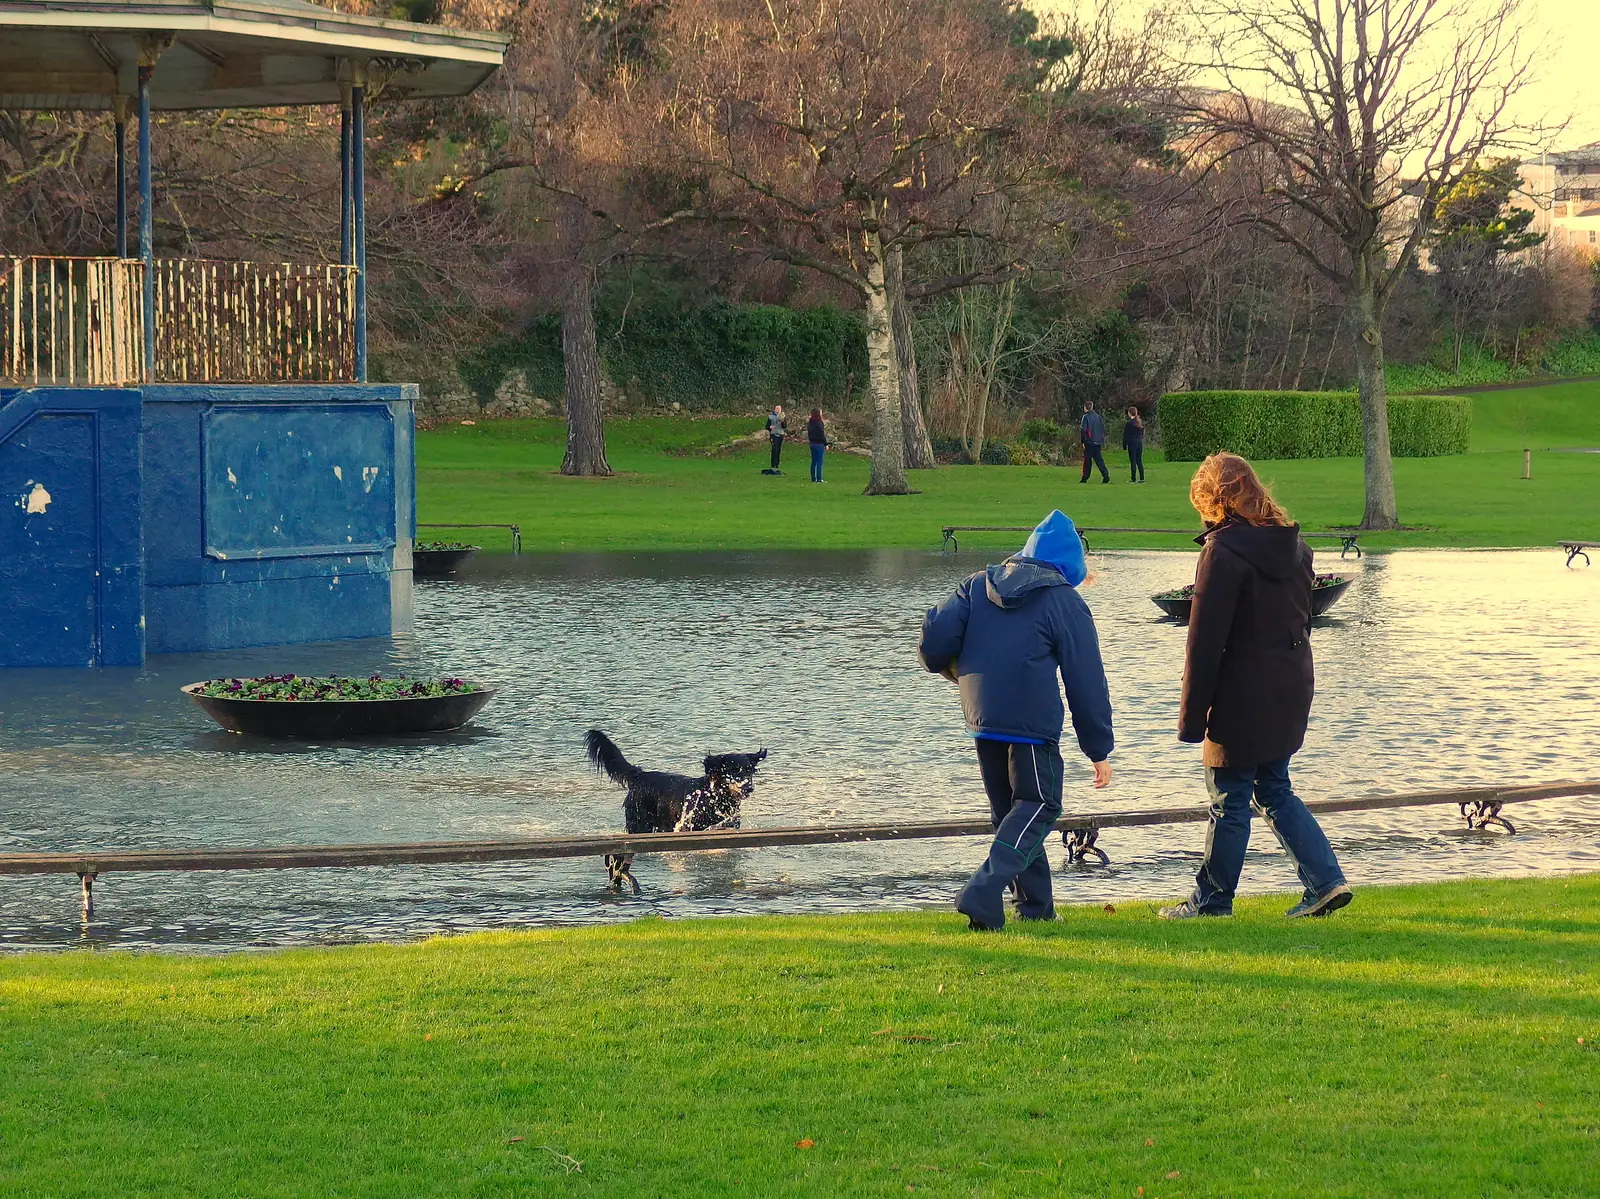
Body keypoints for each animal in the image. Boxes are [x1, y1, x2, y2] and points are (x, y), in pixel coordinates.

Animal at [585, 723, 764, 896]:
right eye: (734, 770)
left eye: (749, 769)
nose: (749, 788)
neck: (713, 797)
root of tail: (639, 775)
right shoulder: (688, 829)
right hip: (639, 825)